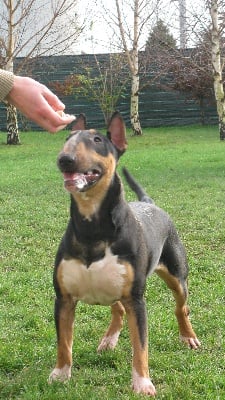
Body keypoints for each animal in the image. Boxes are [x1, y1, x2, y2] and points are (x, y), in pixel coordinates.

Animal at [48, 111, 200, 396]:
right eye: (67, 138)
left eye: (97, 140)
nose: (64, 160)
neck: (92, 226)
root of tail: (150, 203)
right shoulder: (63, 298)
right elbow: (64, 342)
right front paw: (60, 374)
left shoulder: (136, 299)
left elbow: (140, 346)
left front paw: (142, 384)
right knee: (117, 310)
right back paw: (108, 340)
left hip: (177, 276)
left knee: (181, 307)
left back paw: (189, 337)